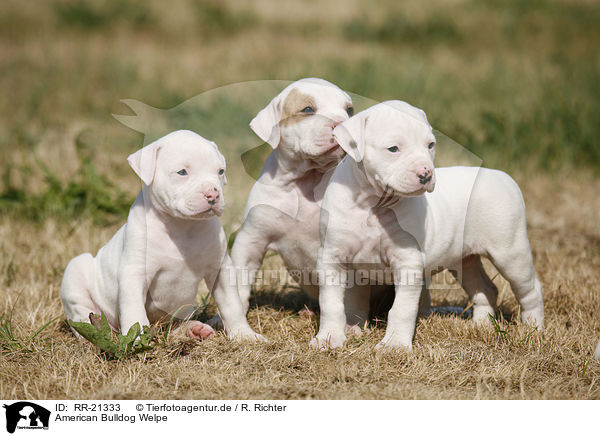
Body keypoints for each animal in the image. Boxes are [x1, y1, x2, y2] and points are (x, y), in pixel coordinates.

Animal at [60, 129, 262, 340]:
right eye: (182, 172)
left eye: (220, 171)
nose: (213, 194)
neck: (183, 227)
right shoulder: (134, 272)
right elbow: (134, 312)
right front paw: (136, 340)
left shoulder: (220, 269)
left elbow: (232, 305)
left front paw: (244, 334)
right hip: (76, 272)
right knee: (82, 318)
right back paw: (97, 331)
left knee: (173, 325)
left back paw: (193, 329)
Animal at [227, 77, 382, 330]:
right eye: (308, 109)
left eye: (349, 110)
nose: (342, 124)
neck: (307, 180)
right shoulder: (251, 239)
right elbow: (240, 281)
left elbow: (350, 294)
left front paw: (348, 325)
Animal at [312, 100, 548, 350]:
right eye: (393, 149)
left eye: (430, 145)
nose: (425, 174)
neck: (370, 204)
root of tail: (502, 176)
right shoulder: (333, 256)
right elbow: (333, 303)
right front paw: (331, 337)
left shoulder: (407, 261)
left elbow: (401, 309)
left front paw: (394, 345)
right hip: (464, 259)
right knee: (485, 288)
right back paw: (482, 325)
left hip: (510, 252)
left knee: (530, 289)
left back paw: (533, 328)